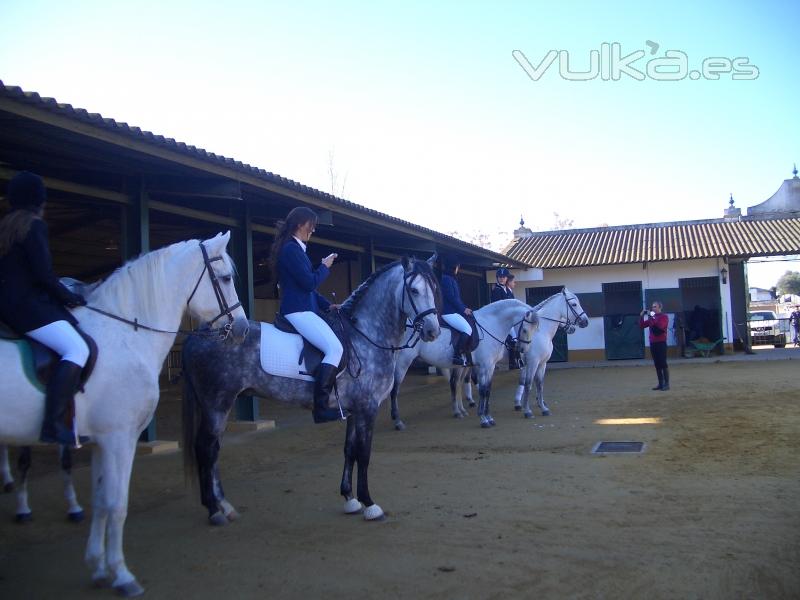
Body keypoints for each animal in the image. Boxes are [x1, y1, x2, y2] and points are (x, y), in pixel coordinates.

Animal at [0, 232, 247, 596]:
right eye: (227, 278)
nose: (242, 328)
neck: (125, 335)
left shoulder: (101, 442)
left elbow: (102, 501)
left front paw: (98, 567)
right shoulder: (119, 439)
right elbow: (117, 505)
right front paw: (122, 575)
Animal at [390, 298, 536, 428]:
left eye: (534, 329)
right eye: (524, 329)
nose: (523, 349)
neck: (491, 324)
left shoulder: (491, 366)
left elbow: (487, 390)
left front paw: (489, 417)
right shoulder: (484, 366)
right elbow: (483, 390)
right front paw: (483, 419)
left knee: (456, 383)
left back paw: (459, 411)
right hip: (403, 362)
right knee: (395, 389)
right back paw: (397, 421)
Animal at [512, 288, 588, 420]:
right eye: (574, 304)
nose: (585, 321)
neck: (540, 332)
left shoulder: (542, 363)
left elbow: (539, 384)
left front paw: (543, 407)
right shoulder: (532, 362)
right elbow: (528, 384)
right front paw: (527, 411)